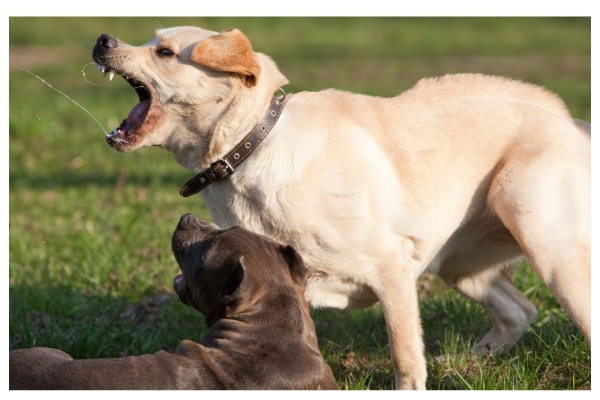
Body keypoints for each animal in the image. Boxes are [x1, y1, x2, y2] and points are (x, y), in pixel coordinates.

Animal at [91, 26, 592, 390]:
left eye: (165, 52)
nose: (103, 41)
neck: (250, 147)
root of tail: (573, 120)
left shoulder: (392, 270)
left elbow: (405, 358)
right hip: (459, 265)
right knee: (518, 310)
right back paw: (465, 366)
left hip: (545, 244)